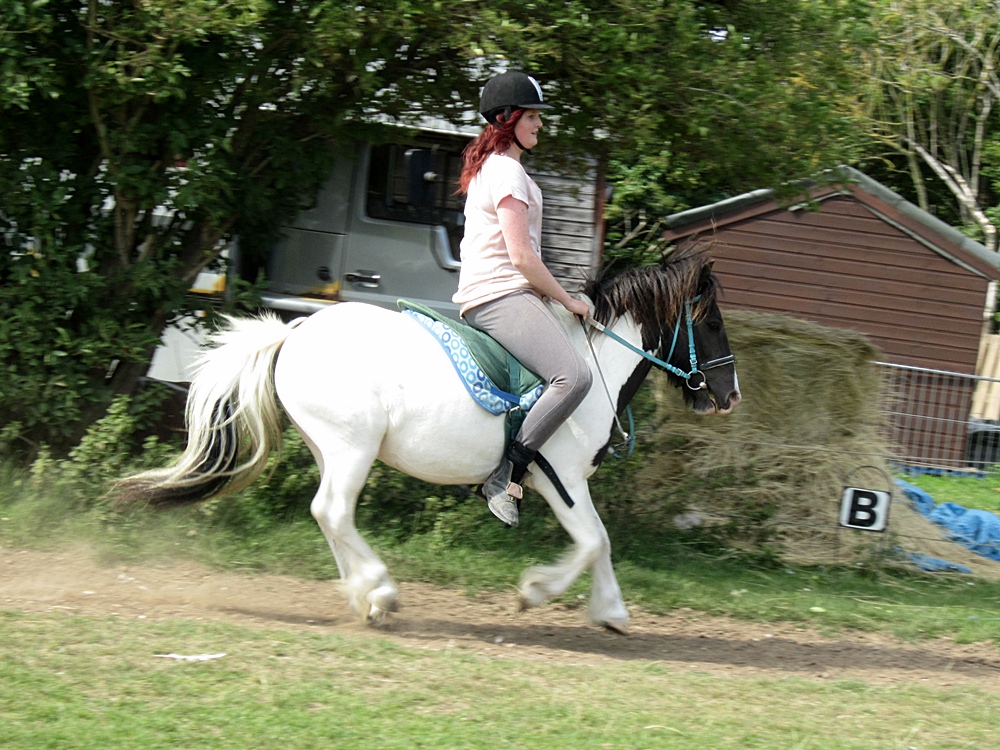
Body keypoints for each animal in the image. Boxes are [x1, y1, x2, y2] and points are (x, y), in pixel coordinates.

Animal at [116, 245, 740, 633]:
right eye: (711, 323)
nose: (730, 394)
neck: (595, 364)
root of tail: (293, 332)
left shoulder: (563, 483)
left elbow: (601, 544)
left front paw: (611, 613)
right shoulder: (556, 477)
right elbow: (593, 541)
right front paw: (537, 592)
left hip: (331, 447)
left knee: (326, 514)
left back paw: (364, 597)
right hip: (351, 448)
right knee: (333, 511)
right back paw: (380, 590)